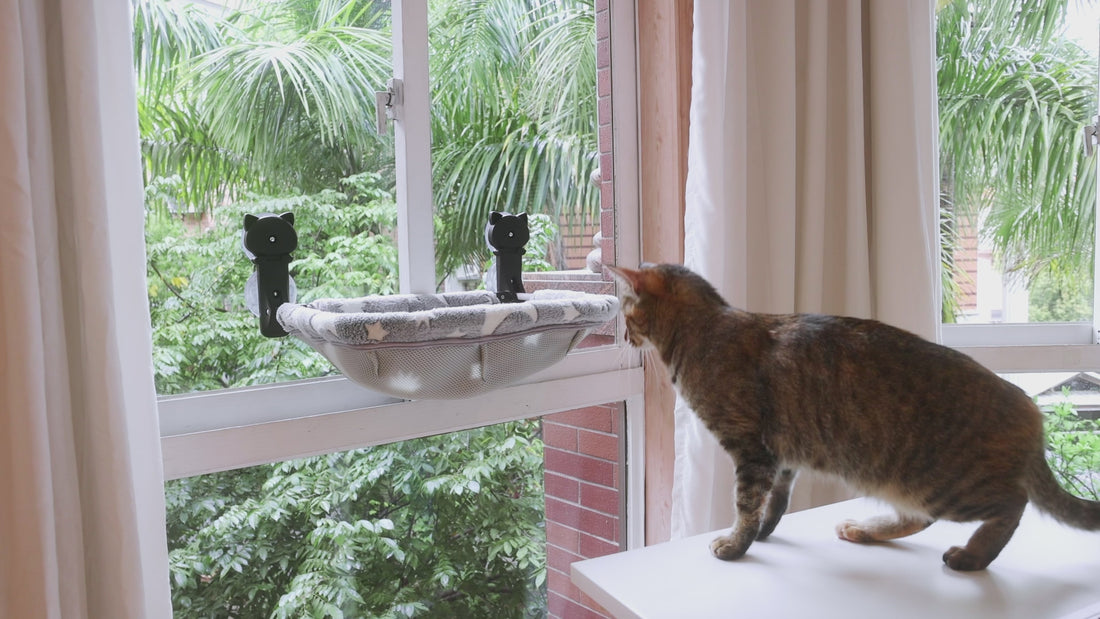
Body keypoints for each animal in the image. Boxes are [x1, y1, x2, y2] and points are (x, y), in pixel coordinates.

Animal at [607, 262, 1100, 571]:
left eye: (626, 308)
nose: (624, 336)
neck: (706, 329)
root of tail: (1030, 409)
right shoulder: (781, 456)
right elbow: (776, 502)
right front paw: (763, 532)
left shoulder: (751, 450)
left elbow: (746, 504)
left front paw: (736, 543)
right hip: (911, 482)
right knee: (921, 517)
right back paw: (866, 529)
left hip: (947, 483)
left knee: (1012, 505)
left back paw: (973, 556)